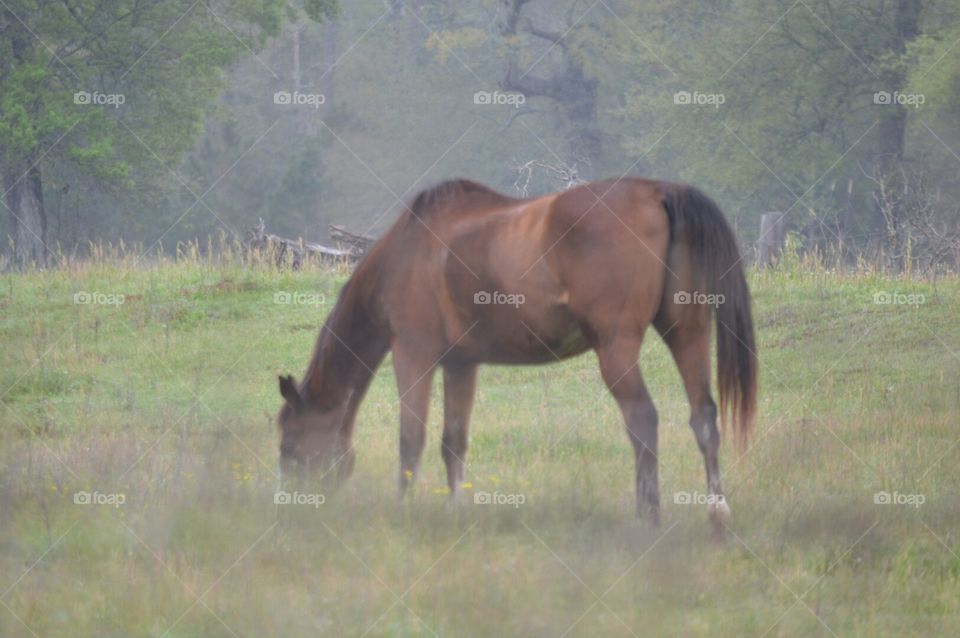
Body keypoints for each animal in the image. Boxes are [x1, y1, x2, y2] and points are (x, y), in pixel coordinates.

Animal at [276, 177, 757, 528]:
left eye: (290, 439)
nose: (292, 507)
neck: (406, 255)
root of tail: (660, 191)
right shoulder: (461, 365)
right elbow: (454, 441)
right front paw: (456, 509)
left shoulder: (412, 355)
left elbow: (410, 441)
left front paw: (400, 511)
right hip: (687, 332)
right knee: (703, 415)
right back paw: (717, 512)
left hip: (616, 348)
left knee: (643, 420)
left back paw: (648, 515)